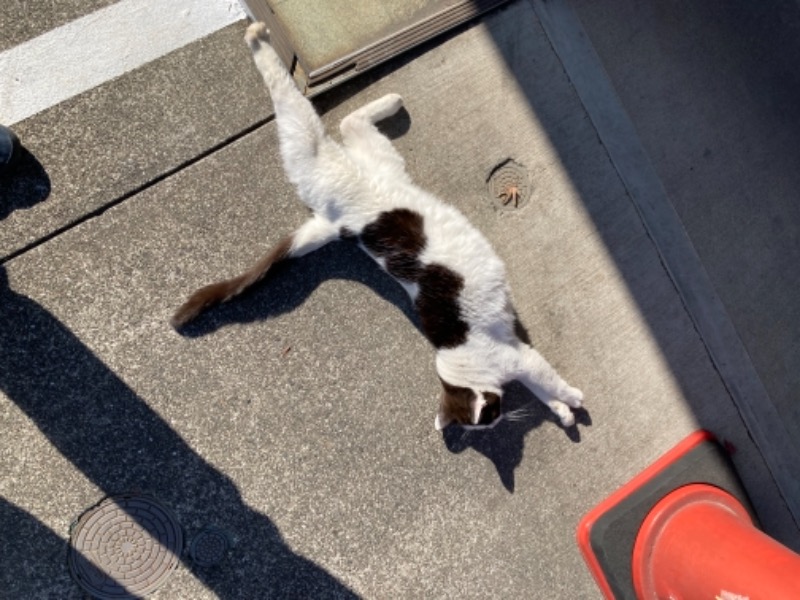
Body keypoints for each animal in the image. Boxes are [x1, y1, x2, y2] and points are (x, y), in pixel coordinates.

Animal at [172, 21, 580, 428]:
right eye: (487, 420)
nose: (496, 421)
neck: (465, 362)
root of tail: (333, 221)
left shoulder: (514, 354)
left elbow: (545, 379)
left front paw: (571, 398)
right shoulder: (514, 352)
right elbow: (541, 381)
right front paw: (564, 407)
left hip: (315, 150)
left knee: (302, 106)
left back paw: (260, 39)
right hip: (373, 157)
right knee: (348, 121)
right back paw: (387, 100)